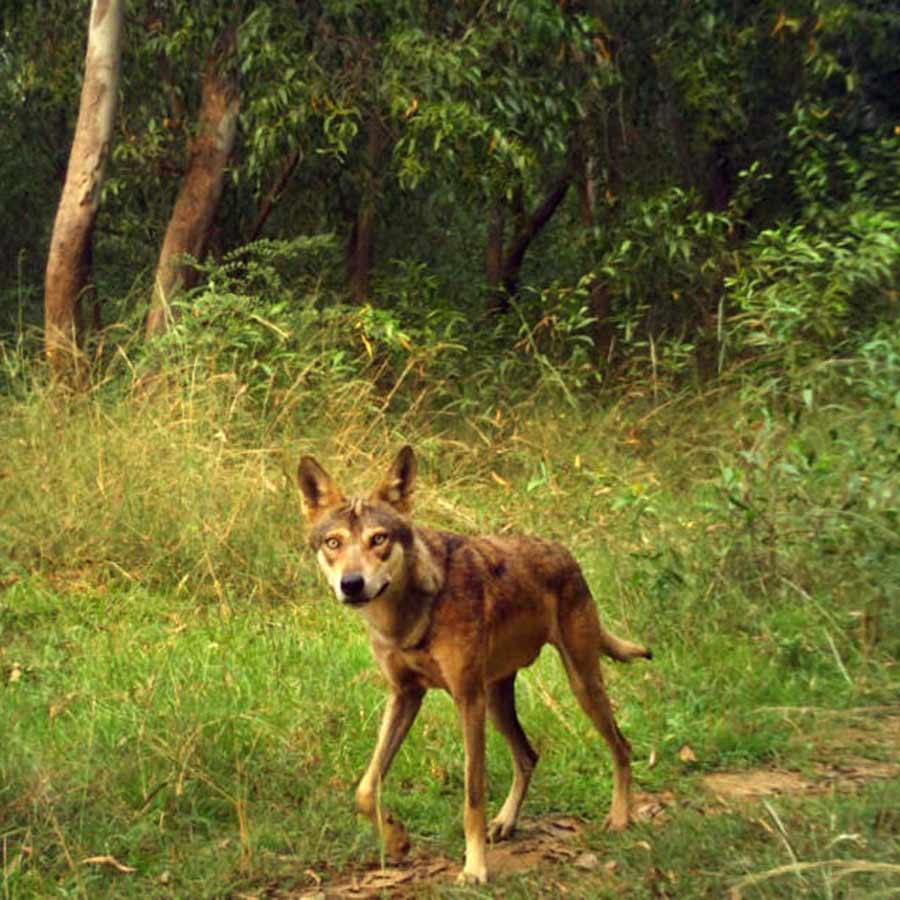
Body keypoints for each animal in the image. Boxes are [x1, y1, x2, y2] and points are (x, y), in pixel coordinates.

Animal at [297, 446, 652, 884]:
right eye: (334, 542)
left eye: (378, 539)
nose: (351, 584)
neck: (408, 616)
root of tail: (565, 553)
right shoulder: (404, 695)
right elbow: (365, 788)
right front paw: (397, 841)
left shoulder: (467, 700)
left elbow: (472, 793)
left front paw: (474, 868)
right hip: (499, 703)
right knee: (528, 756)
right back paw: (506, 822)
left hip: (580, 685)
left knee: (621, 746)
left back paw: (619, 817)